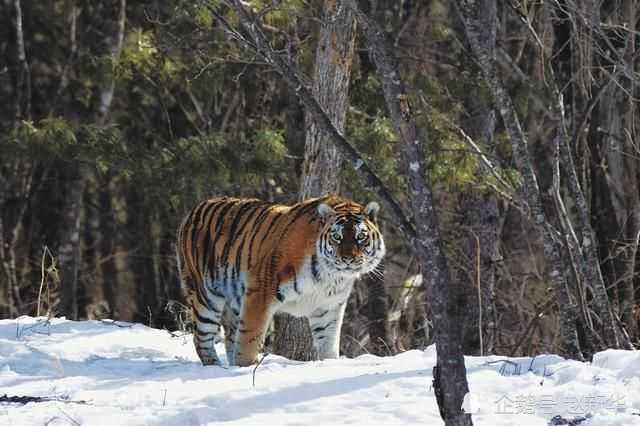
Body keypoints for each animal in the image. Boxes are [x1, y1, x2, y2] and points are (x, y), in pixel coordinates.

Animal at [175, 196, 384, 366]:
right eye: (337, 237)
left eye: (360, 237)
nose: (348, 259)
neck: (330, 276)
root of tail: (194, 209)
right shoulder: (259, 293)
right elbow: (249, 339)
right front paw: (246, 368)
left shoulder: (329, 307)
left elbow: (328, 343)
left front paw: (330, 364)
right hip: (205, 296)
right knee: (201, 338)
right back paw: (215, 368)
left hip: (233, 301)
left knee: (229, 337)